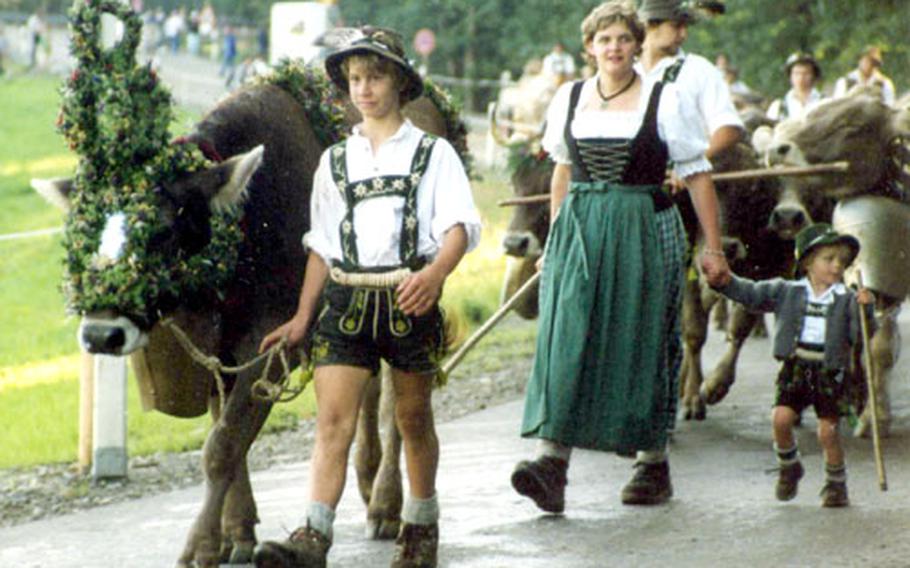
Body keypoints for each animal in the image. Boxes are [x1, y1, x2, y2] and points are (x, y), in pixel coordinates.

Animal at [32, 3, 470, 564]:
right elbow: (228, 433)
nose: (100, 334)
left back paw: (388, 506)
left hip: (418, 296)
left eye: (165, 229)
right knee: (368, 384)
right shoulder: (221, 351)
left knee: (400, 400)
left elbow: (222, 445)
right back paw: (368, 479)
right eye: (83, 231)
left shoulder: (269, 340)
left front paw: (199, 546)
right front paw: (236, 532)